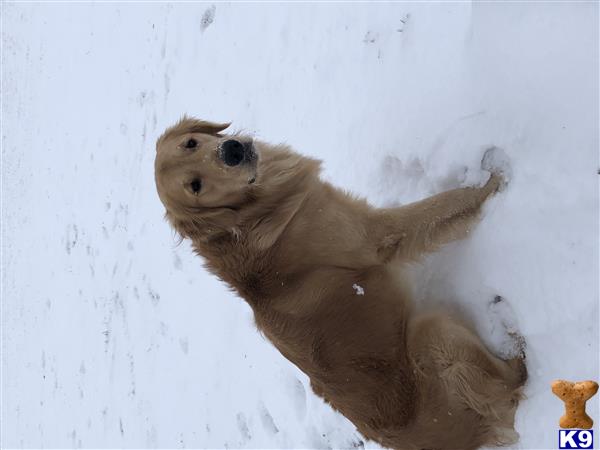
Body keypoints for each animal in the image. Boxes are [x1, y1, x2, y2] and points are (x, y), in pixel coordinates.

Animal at [154, 117, 524, 450]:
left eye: (191, 143)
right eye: (196, 186)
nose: (231, 151)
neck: (252, 214)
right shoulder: (378, 233)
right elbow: (444, 203)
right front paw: (494, 177)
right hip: (432, 332)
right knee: (516, 382)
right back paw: (511, 335)